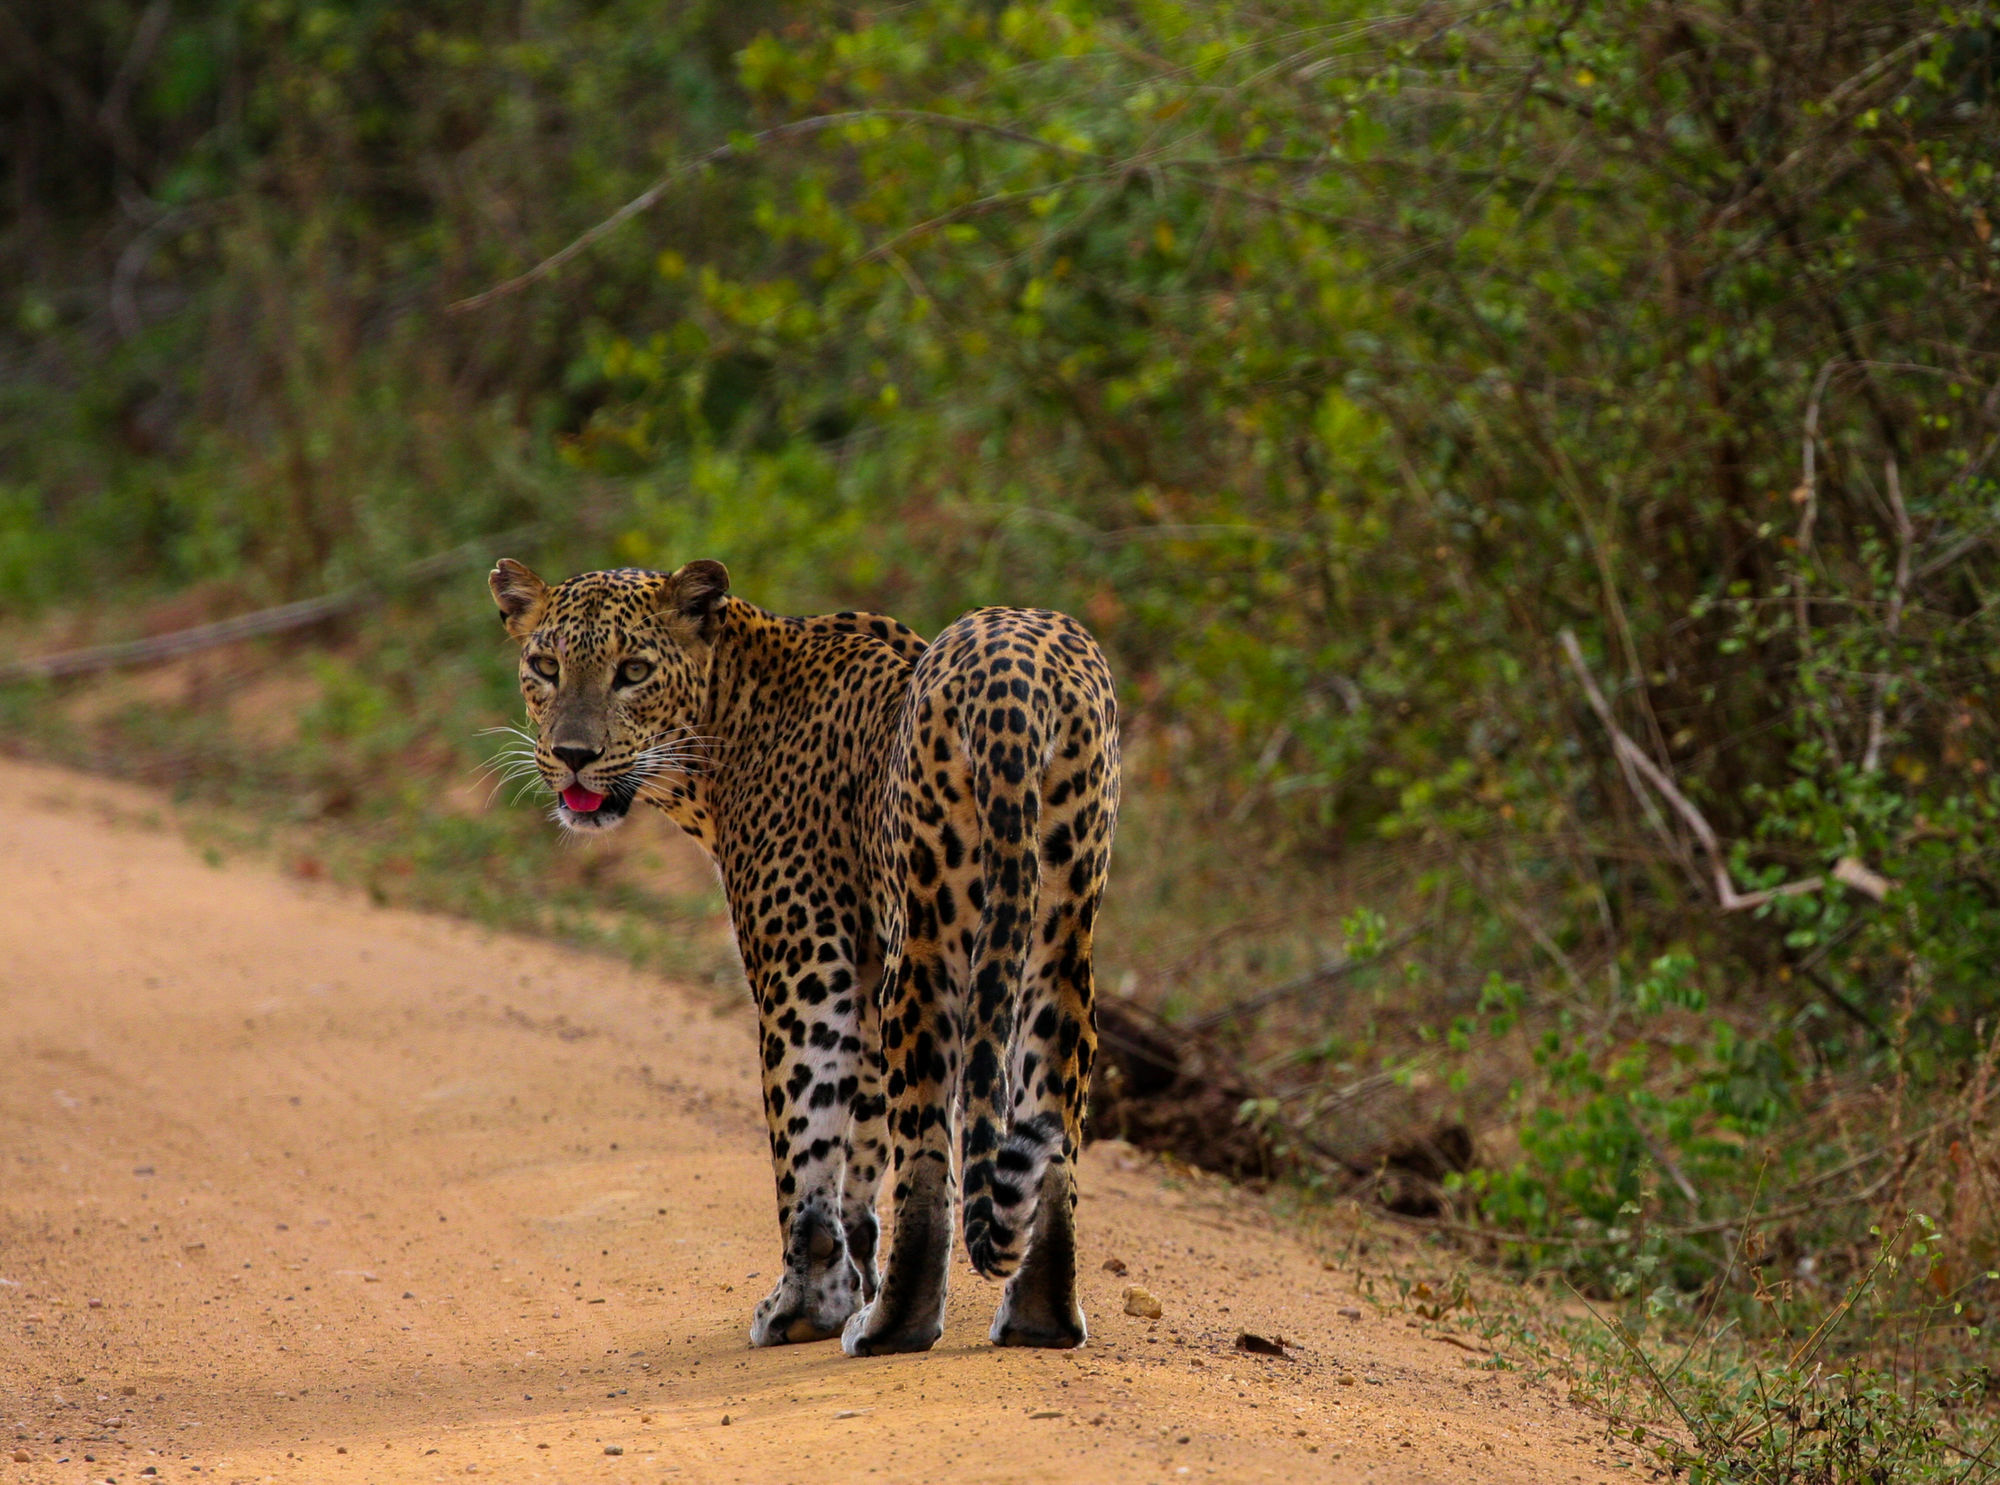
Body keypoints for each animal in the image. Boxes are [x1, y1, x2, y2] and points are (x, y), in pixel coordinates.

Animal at [478, 560, 1120, 1360]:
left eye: (633, 671)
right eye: (545, 666)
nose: (572, 755)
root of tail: (1014, 675)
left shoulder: (807, 961)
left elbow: (808, 1142)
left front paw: (807, 1305)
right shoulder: (862, 959)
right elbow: (861, 1144)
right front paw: (849, 1278)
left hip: (930, 934)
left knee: (927, 1149)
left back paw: (892, 1326)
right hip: (1060, 928)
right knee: (1050, 1113)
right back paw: (1039, 1319)